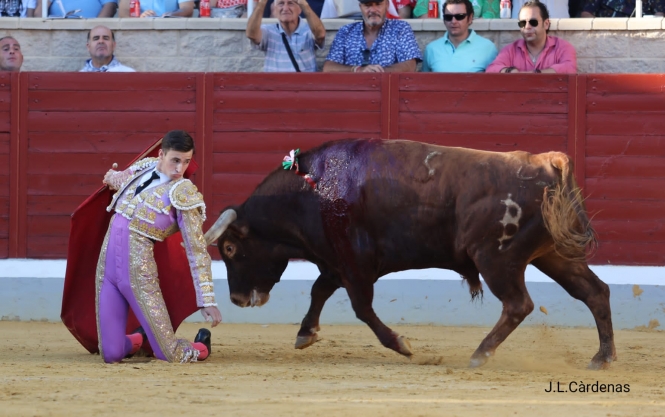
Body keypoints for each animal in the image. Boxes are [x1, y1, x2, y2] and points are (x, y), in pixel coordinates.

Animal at [205, 138, 616, 368]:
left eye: (229, 247)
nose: (237, 299)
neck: (313, 190)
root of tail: (545, 162)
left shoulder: (355, 265)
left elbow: (361, 309)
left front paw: (402, 344)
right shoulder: (336, 262)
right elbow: (319, 290)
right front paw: (306, 333)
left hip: (496, 259)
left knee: (519, 305)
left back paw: (480, 354)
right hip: (554, 254)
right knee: (594, 292)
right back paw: (602, 357)